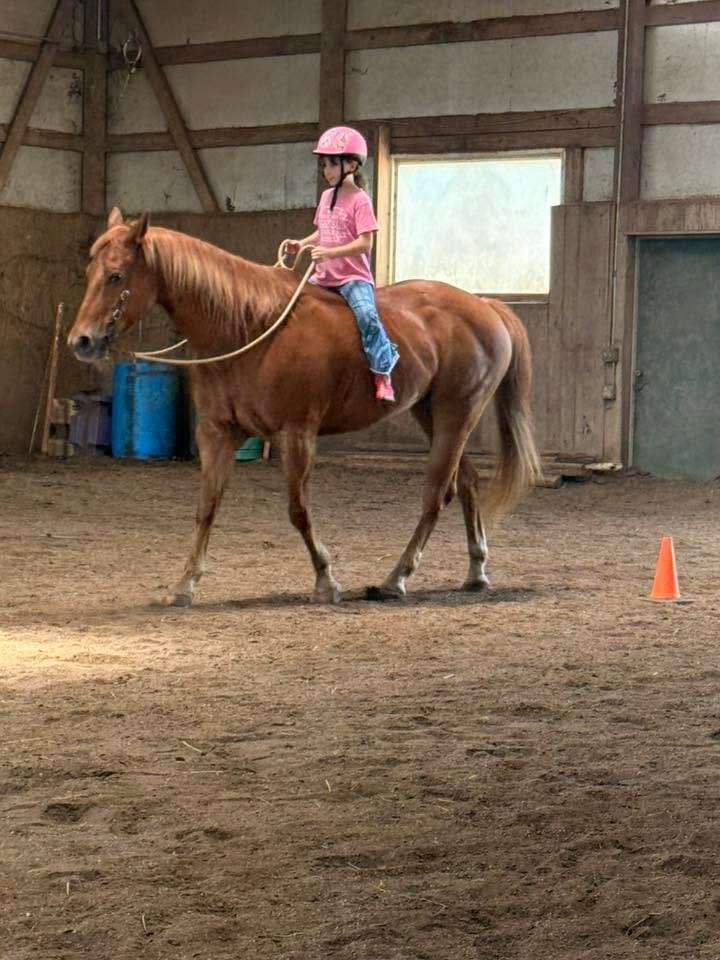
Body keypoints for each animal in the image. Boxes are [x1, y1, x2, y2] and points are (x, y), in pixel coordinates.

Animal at [68, 207, 541, 606]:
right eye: (90, 271)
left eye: (116, 275)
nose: (81, 341)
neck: (247, 326)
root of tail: (485, 306)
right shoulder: (217, 433)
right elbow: (207, 507)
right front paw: (184, 585)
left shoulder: (296, 434)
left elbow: (298, 510)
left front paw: (326, 580)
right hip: (431, 413)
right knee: (468, 482)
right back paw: (476, 571)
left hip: (456, 413)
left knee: (437, 493)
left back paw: (395, 579)